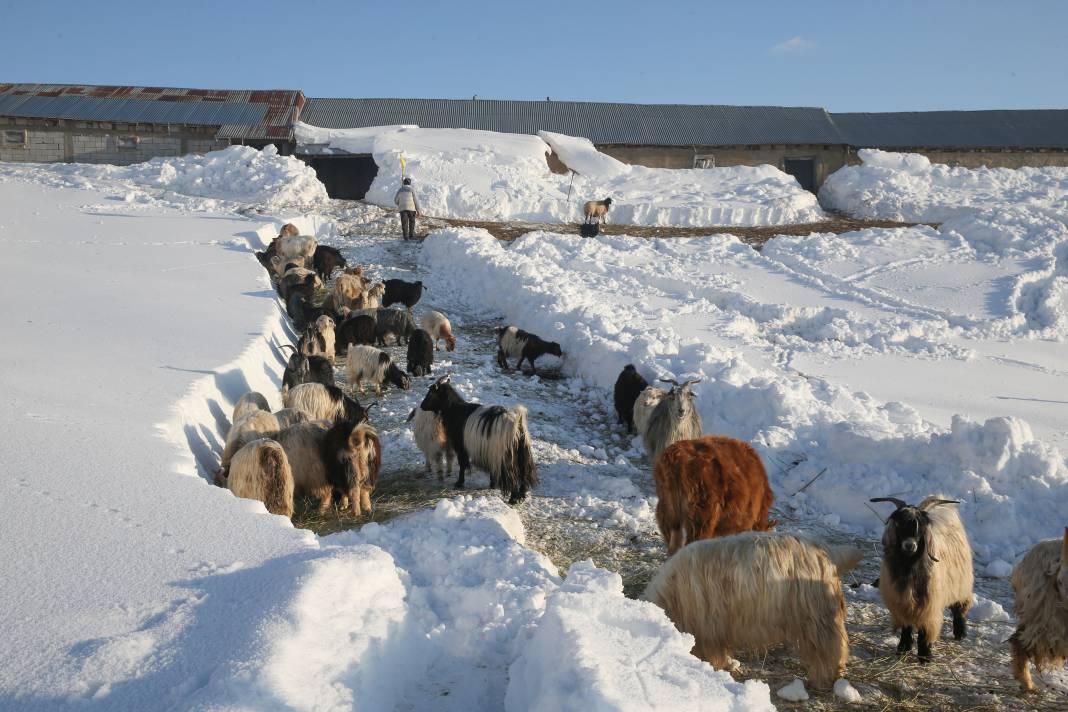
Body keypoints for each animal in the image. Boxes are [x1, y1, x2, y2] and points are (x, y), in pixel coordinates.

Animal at [414, 375, 534, 503]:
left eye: (431, 392)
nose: (422, 406)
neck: (454, 409)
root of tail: (517, 423)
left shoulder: (461, 445)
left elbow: (462, 463)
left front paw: (459, 483)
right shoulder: (489, 452)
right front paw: (492, 484)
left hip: (507, 456)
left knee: (513, 475)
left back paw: (513, 499)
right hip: (522, 453)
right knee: (523, 473)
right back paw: (522, 495)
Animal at [640, 533, 858, 691]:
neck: (672, 598)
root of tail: (825, 551)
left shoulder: (709, 628)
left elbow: (713, 653)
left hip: (816, 619)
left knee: (830, 649)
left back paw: (822, 679)